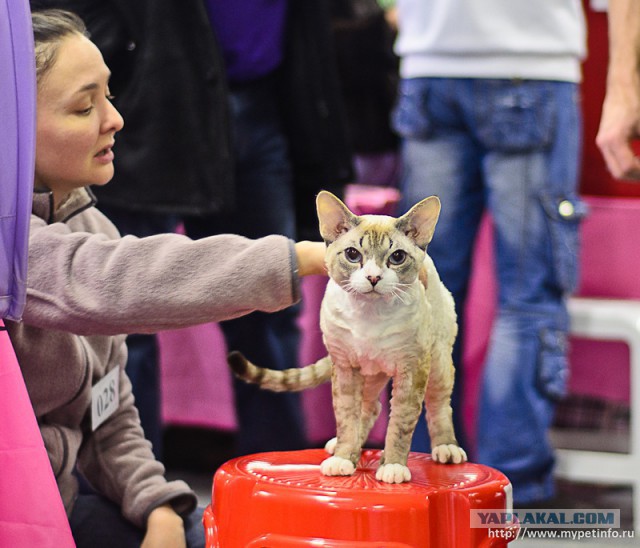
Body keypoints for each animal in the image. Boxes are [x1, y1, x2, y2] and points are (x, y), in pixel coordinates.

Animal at [228, 191, 468, 482]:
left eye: (397, 257)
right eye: (353, 254)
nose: (373, 277)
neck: (369, 317)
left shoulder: (412, 368)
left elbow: (400, 422)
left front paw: (393, 465)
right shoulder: (344, 365)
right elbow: (346, 417)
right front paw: (344, 457)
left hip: (438, 361)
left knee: (439, 404)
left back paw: (447, 446)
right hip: (368, 371)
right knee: (370, 407)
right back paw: (345, 447)